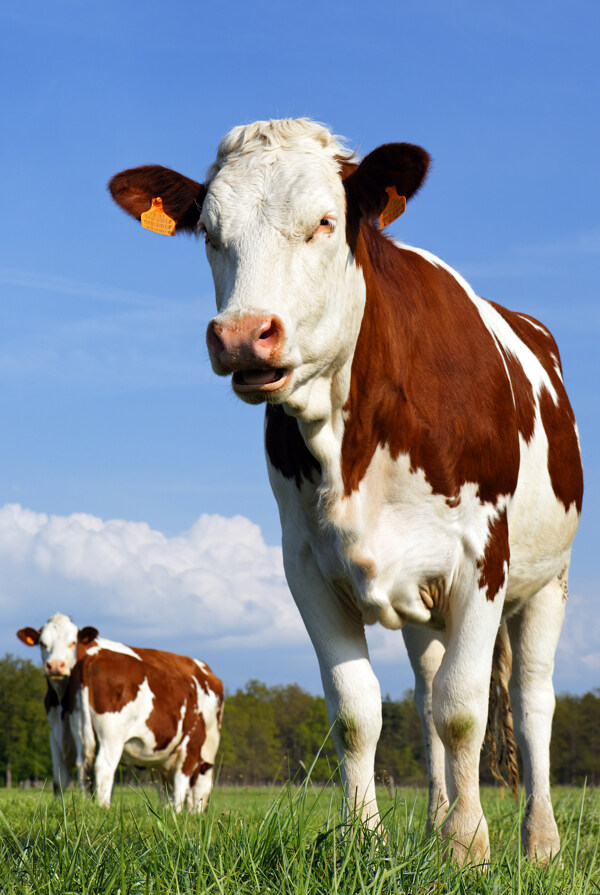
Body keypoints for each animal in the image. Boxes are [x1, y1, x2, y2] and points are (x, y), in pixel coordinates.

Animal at [17, 616, 223, 812]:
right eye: (42, 643)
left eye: (72, 642)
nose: (54, 666)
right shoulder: (190, 747)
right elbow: (181, 784)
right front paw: (177, 812)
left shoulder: (57, 735)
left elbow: (60, 776)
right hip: (112, 734)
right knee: (103, 766)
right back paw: (103, 806)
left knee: (78, 767)